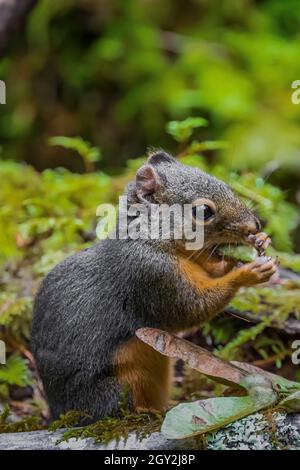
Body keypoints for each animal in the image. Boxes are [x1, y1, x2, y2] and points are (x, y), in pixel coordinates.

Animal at [30, 151, 276, 422]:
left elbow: (212, 272)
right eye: (203, 211)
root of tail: (58, 411)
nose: (255, 225)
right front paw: (248, 273)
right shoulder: (152, 274)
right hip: (116, 391)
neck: (152, 240)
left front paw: (261, 242)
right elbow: (191, 308)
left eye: (227, 185)